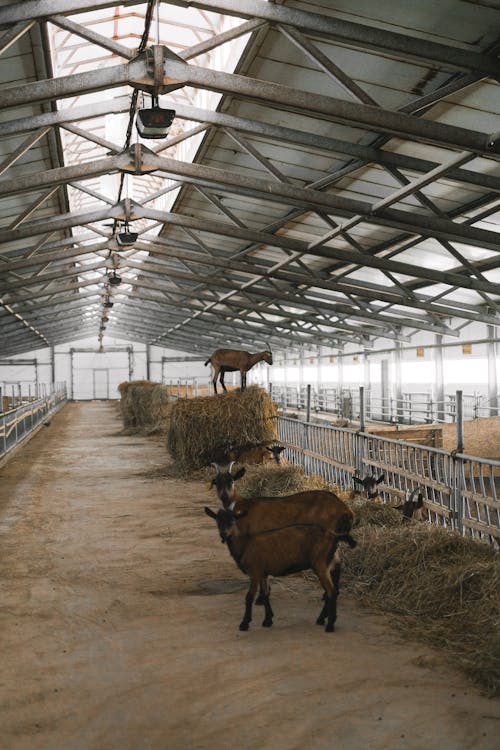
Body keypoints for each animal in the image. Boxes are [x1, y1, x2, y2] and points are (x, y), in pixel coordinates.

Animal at [203, 506, 356, 636]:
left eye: (232, 520)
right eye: (218, 521)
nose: (223, 534)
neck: (245, 544)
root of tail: (333, 535)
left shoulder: (255, 572)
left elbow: (249, 597)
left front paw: (244, 624)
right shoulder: (263, 573)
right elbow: (266, 594)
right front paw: (267, 620)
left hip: (320, 564)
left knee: (331, 592)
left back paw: (329, 625)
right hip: (331, 562)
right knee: (334, 589)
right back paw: (322, 619)